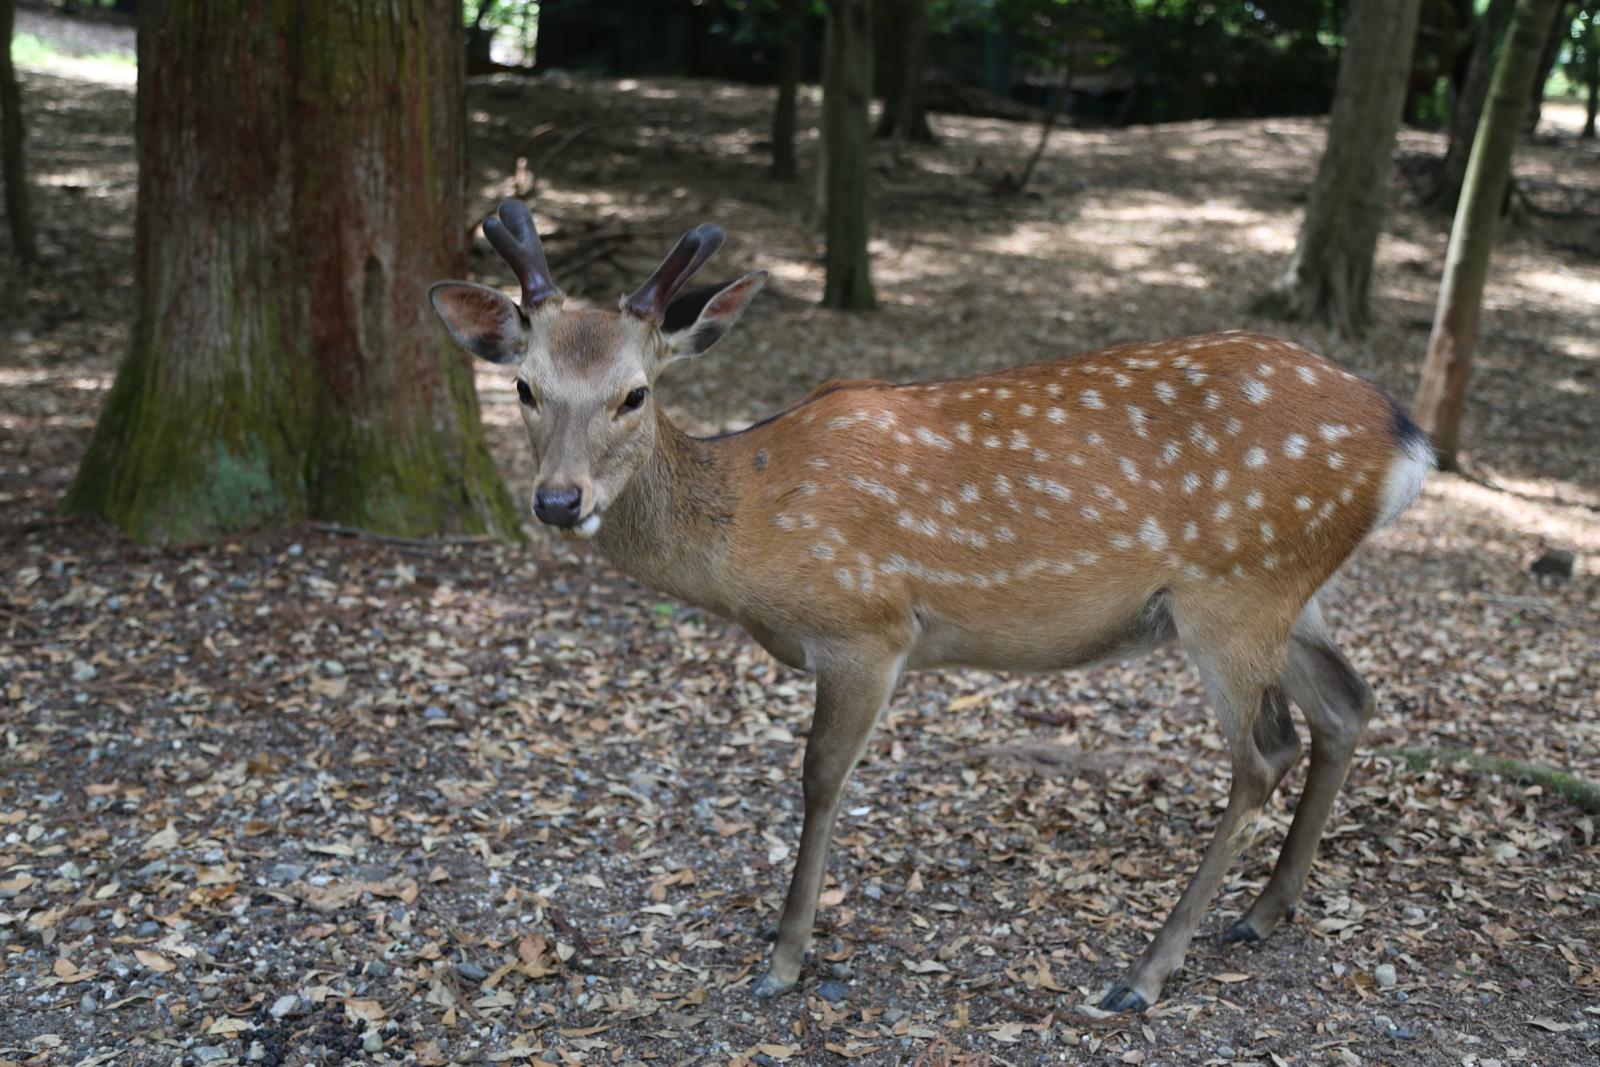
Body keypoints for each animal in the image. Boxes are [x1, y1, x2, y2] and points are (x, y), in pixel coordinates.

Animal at [429, 201, 1433, 1012]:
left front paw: (783, 958)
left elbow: (821, 779)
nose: (559, 501)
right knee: (1346, 702)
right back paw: (1264, 911)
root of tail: (1405, 439)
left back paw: (1145, 972)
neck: (748, 529)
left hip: (1236, 586)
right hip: (1289, 586)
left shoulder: (865, 627)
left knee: (1264, 753)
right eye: (524, 387)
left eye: (635, 394)